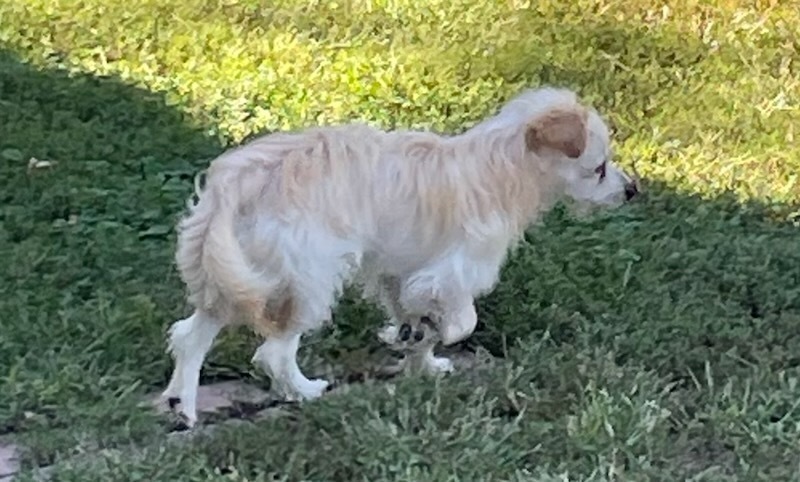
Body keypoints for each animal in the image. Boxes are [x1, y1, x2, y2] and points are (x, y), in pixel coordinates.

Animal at [161, 85, 636, 426]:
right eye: (599, 169)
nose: (632, 190)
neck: (502, 165)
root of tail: (238, 183)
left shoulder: (401, 274)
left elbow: (415, 318)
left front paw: (420, 354)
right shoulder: (449, 274)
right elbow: (463, 322)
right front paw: (428, 336)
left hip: (234, 278)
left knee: (190, 336)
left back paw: (182, 405)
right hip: (308, 279)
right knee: (274, 352)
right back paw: (304, 391)